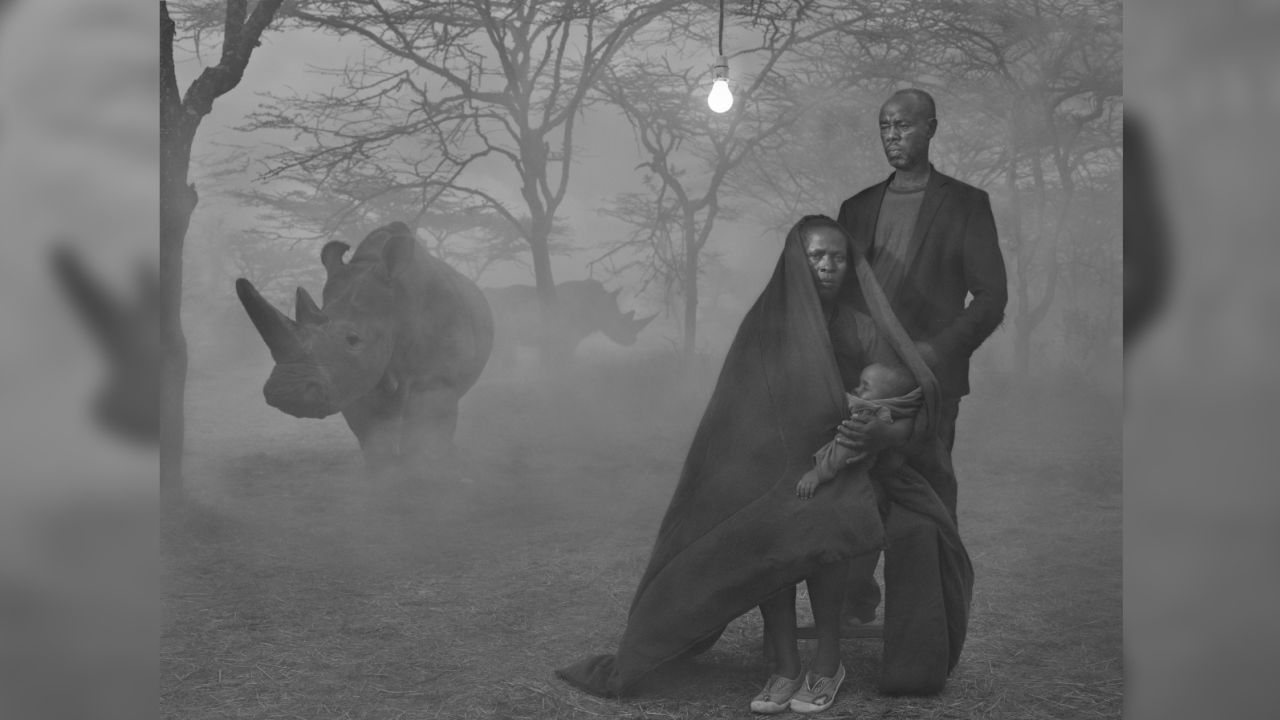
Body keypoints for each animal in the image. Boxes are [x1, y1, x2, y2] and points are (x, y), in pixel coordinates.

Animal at [232, 220, 491, 476]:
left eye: (353, 340)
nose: (285, 392)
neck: (397, 306)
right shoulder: (351, 378)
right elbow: (371, 432)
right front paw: (382, 472)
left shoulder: (436, 378)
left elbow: (425, 429)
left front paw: (422, 471)